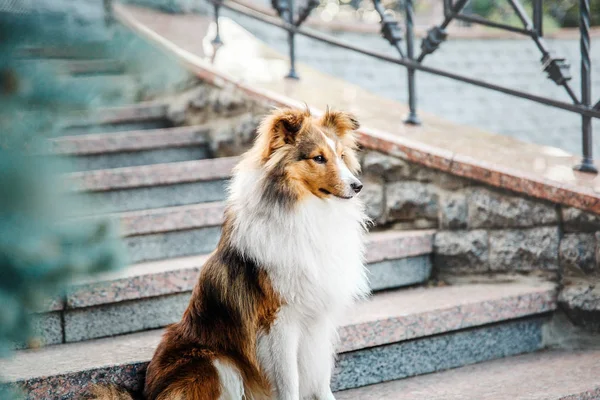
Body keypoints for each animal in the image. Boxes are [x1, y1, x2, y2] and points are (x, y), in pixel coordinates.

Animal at [92, 107, 370, 400]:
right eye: (318, 158)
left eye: (342, 156)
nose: (358, 186)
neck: (308, 213)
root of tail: (149, 393)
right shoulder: (278, 320)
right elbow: (289, 381)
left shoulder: (319, 316)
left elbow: (319, 376)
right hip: (216, 362)